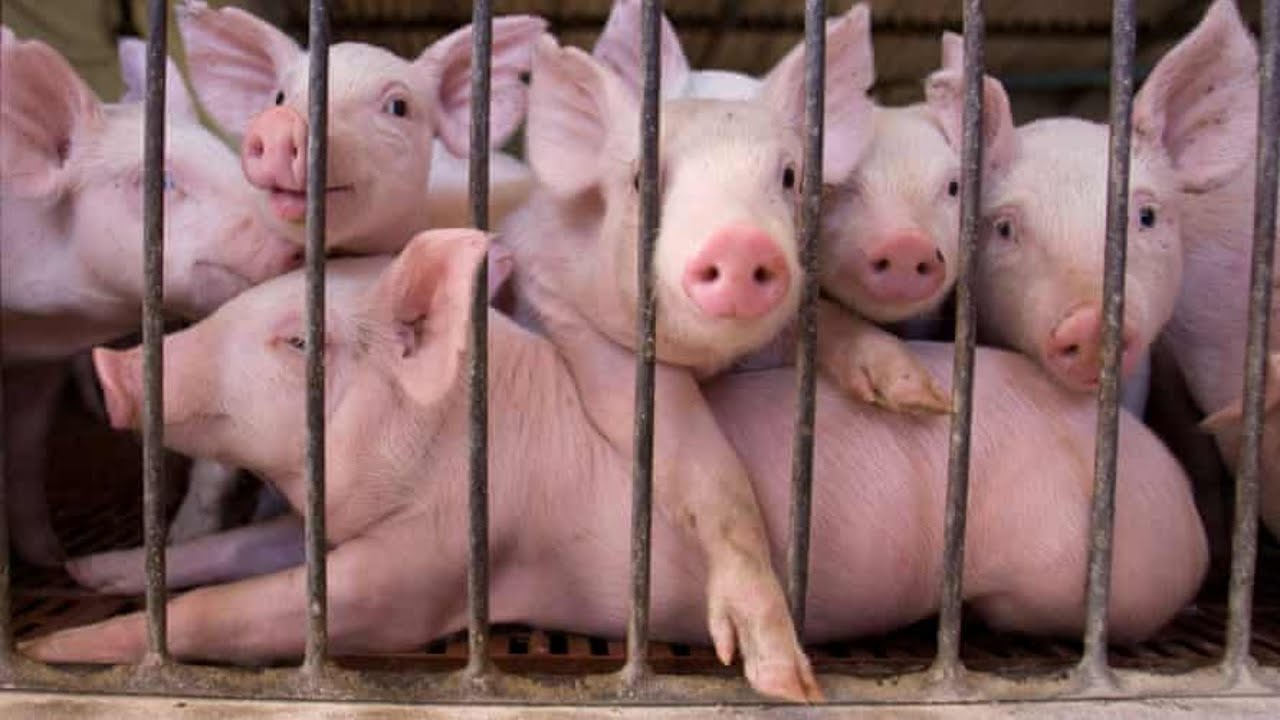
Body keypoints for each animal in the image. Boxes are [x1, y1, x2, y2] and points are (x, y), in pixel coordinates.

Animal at [0, 31, 301, 564]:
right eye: (160, 181)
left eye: (233, 162)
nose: (298, 237)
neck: (44, 320)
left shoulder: (42, 366)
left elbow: (26, 446)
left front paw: (54, 560)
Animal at [27, 230, 1207, 704]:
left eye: (296, 341)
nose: (114, 366)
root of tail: (1193, 516)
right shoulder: (333, 523)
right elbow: (236, 554)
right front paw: (86, 585)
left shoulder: (431, 569)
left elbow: (269, 607)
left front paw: (63, 650)